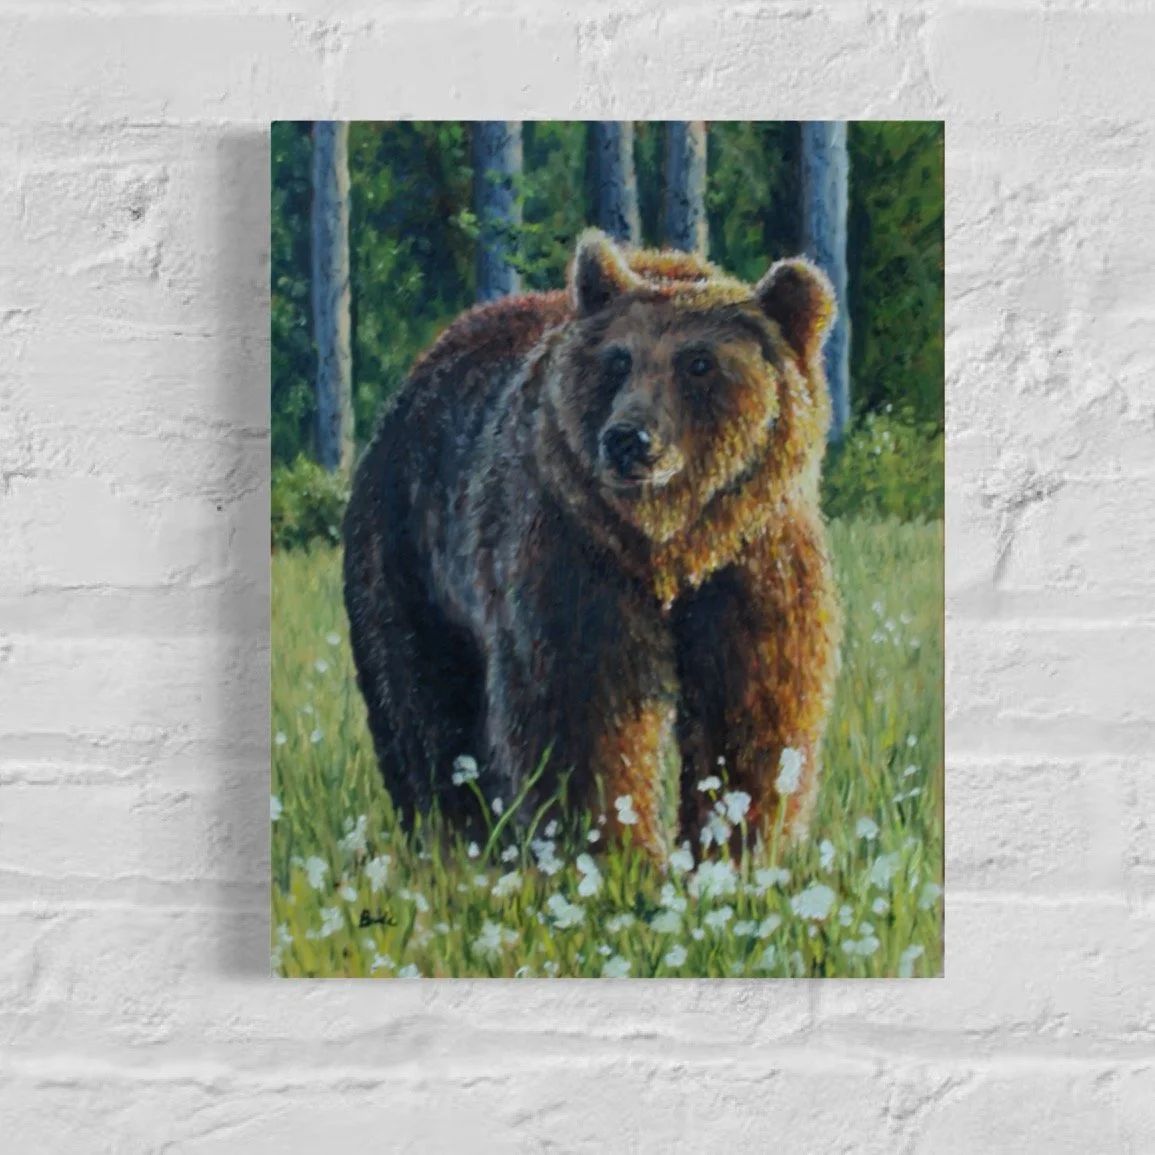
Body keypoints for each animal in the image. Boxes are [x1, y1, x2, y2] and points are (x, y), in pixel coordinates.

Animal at [343, 229, 842, 858]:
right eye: (618, 360)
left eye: (699, 363)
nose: (628, 439)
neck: (670, 542)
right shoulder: (571, 548)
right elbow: (583, 708)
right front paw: (615, 853)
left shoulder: (757, 556)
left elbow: (755, 705)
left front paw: (738, 847)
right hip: (409, 553)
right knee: (423, 704)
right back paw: (457, 840)